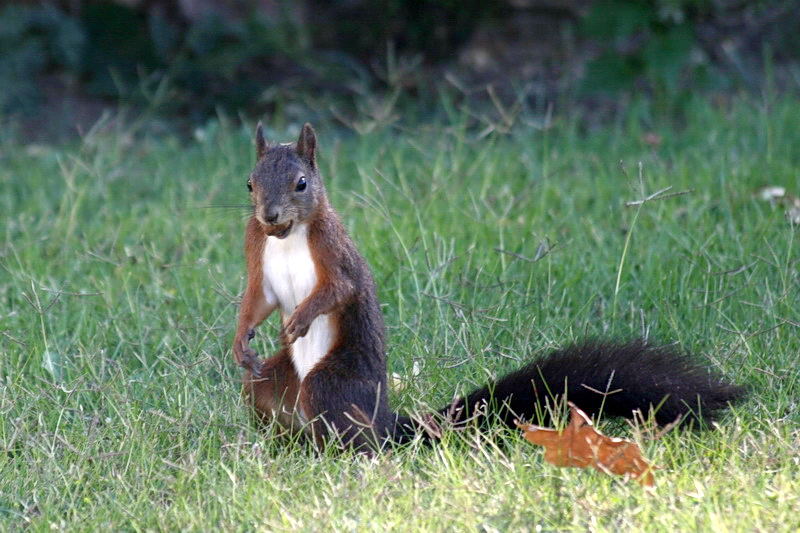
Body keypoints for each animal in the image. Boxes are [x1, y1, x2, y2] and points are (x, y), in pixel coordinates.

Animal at [231, 122, 744, 450]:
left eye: (301, 183)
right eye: (250, 184)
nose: (269, 216)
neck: (288, 236)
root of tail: (386, 422)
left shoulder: (334, 250)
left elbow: (338, 289)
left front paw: (300, 319)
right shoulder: (256, 250)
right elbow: (260, 299)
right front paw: (241, 341)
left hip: (332, 383)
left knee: (355, 437)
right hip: (272, 387)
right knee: (266, 392)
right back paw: (280, 446)